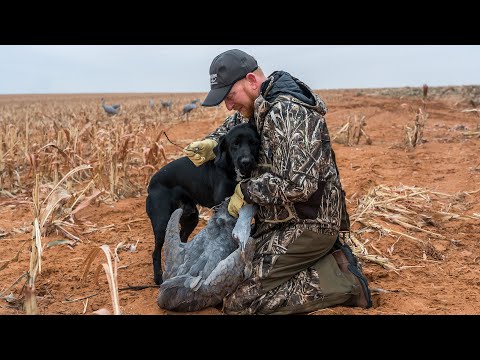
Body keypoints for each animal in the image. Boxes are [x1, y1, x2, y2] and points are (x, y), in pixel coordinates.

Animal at [145, 123, 260, 284]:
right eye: (235, 144)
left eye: (254, 143)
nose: (246, 162)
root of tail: (151, 183)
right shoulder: (221, 209)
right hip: (162, 222)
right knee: (155, 251)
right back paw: (158, 277)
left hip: (191, 217)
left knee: (180, 239)